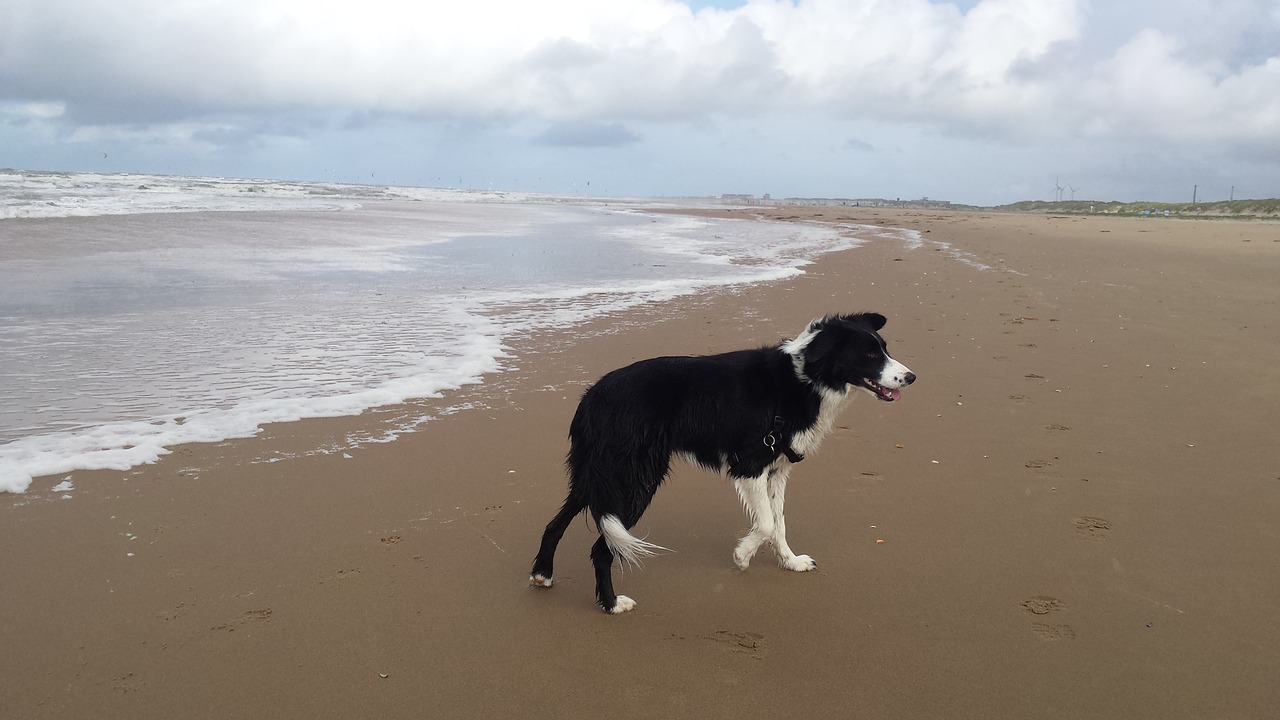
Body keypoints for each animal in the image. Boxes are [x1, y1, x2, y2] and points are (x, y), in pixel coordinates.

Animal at [532, 311, 921, 607]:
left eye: (884, 349)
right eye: (869, 355)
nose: (911, 377)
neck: (804, 378)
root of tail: (591, 399)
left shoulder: (777, 470)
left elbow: (779, 523)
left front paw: (791, 562)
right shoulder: (750, 464)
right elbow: (766, 524)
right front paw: (742, 556)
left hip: (597, 476)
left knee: (555, 524)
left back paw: (542, 574)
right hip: (635, 480)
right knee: (602, 548)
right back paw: (612, 604)